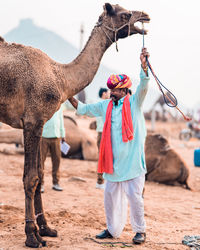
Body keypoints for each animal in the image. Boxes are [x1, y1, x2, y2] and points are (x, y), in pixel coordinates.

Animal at [0, 2, 150, 248]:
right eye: (125, 14)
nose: (145, 15)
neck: (60, 76)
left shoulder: (38, 122)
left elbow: (39, 174)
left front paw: (46, 229)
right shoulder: (32, 121)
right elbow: (31, 178)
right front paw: (32, 236)